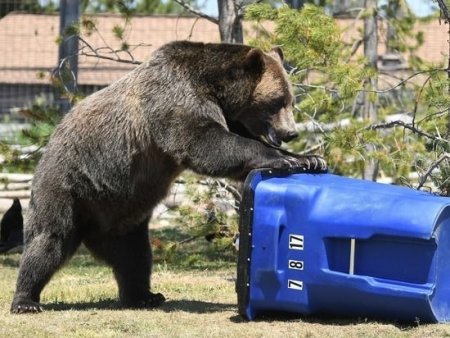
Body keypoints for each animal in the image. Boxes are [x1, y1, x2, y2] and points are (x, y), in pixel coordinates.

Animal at [10, 41, 326, 312]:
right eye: (278, 101)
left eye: (291, 100)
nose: (291, 133)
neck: (215, 88)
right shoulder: (174, 100)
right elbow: (207, 143)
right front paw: (284, 158)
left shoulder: (224, 114)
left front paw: (310, 158)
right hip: (68, 187)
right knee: (49, 240)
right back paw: (26, 300)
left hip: (121, 214)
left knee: (134, 256)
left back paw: (144, 295)